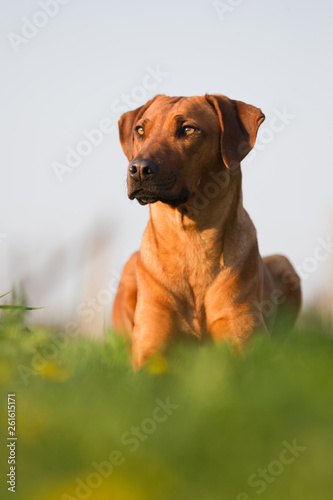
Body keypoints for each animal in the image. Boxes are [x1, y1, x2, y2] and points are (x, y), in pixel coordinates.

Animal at [111, 94, 300, 368]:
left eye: (188, 129)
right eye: (140, 130)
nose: (138, 169)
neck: (191, 237)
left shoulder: (245, 345)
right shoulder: (149, 351)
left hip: (283, 263)